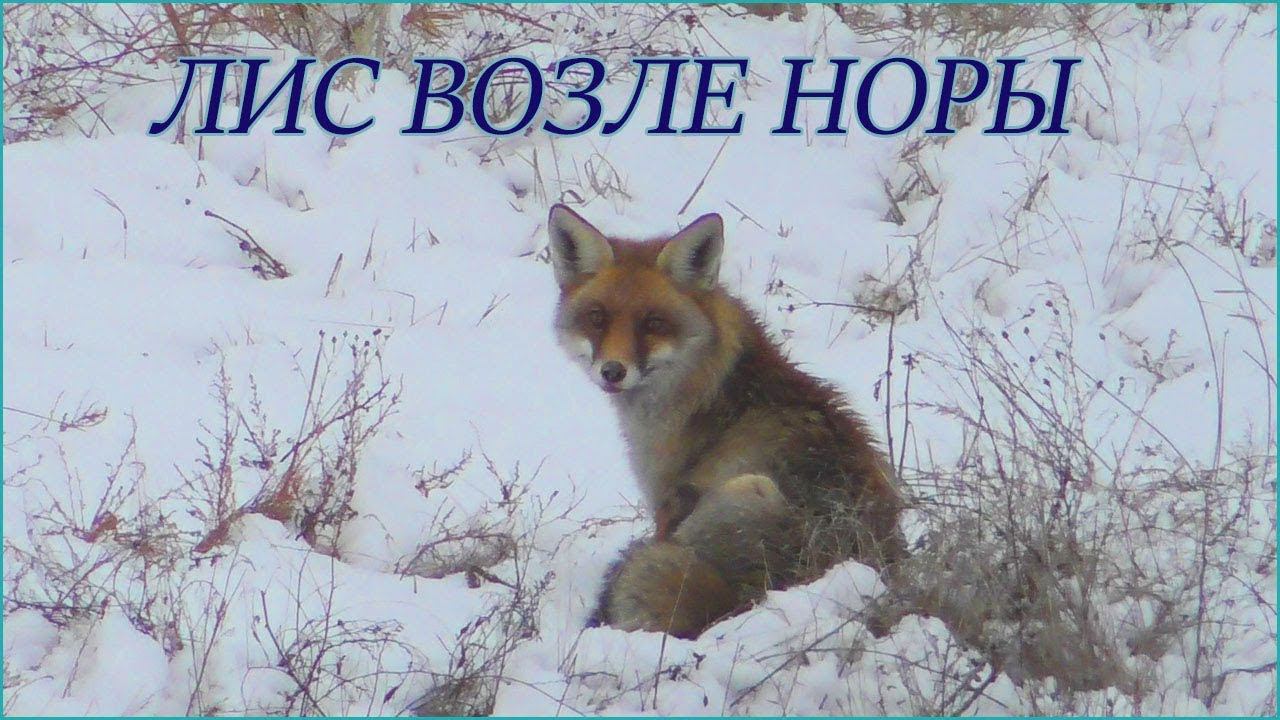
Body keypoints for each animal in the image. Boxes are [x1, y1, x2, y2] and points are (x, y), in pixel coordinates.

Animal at [546, 204, 907, 638]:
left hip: (751, 488)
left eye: (653, 323)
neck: (711, 387)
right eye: (597, 318)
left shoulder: (668, 505)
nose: (612, 372)